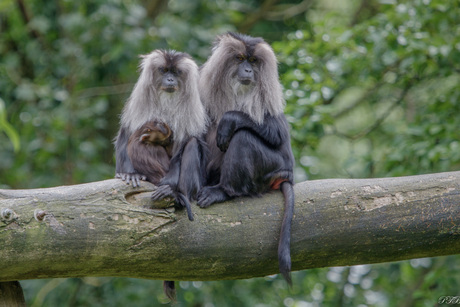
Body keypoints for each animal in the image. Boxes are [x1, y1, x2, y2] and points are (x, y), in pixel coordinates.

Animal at [197, 33, 294, 284]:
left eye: (253, 60)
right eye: (240, 59)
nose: (248, 70)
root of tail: (287, 174)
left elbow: (277, 131)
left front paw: (230, 119)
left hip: (270, 169)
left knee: (242, 137)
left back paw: (224, 191)